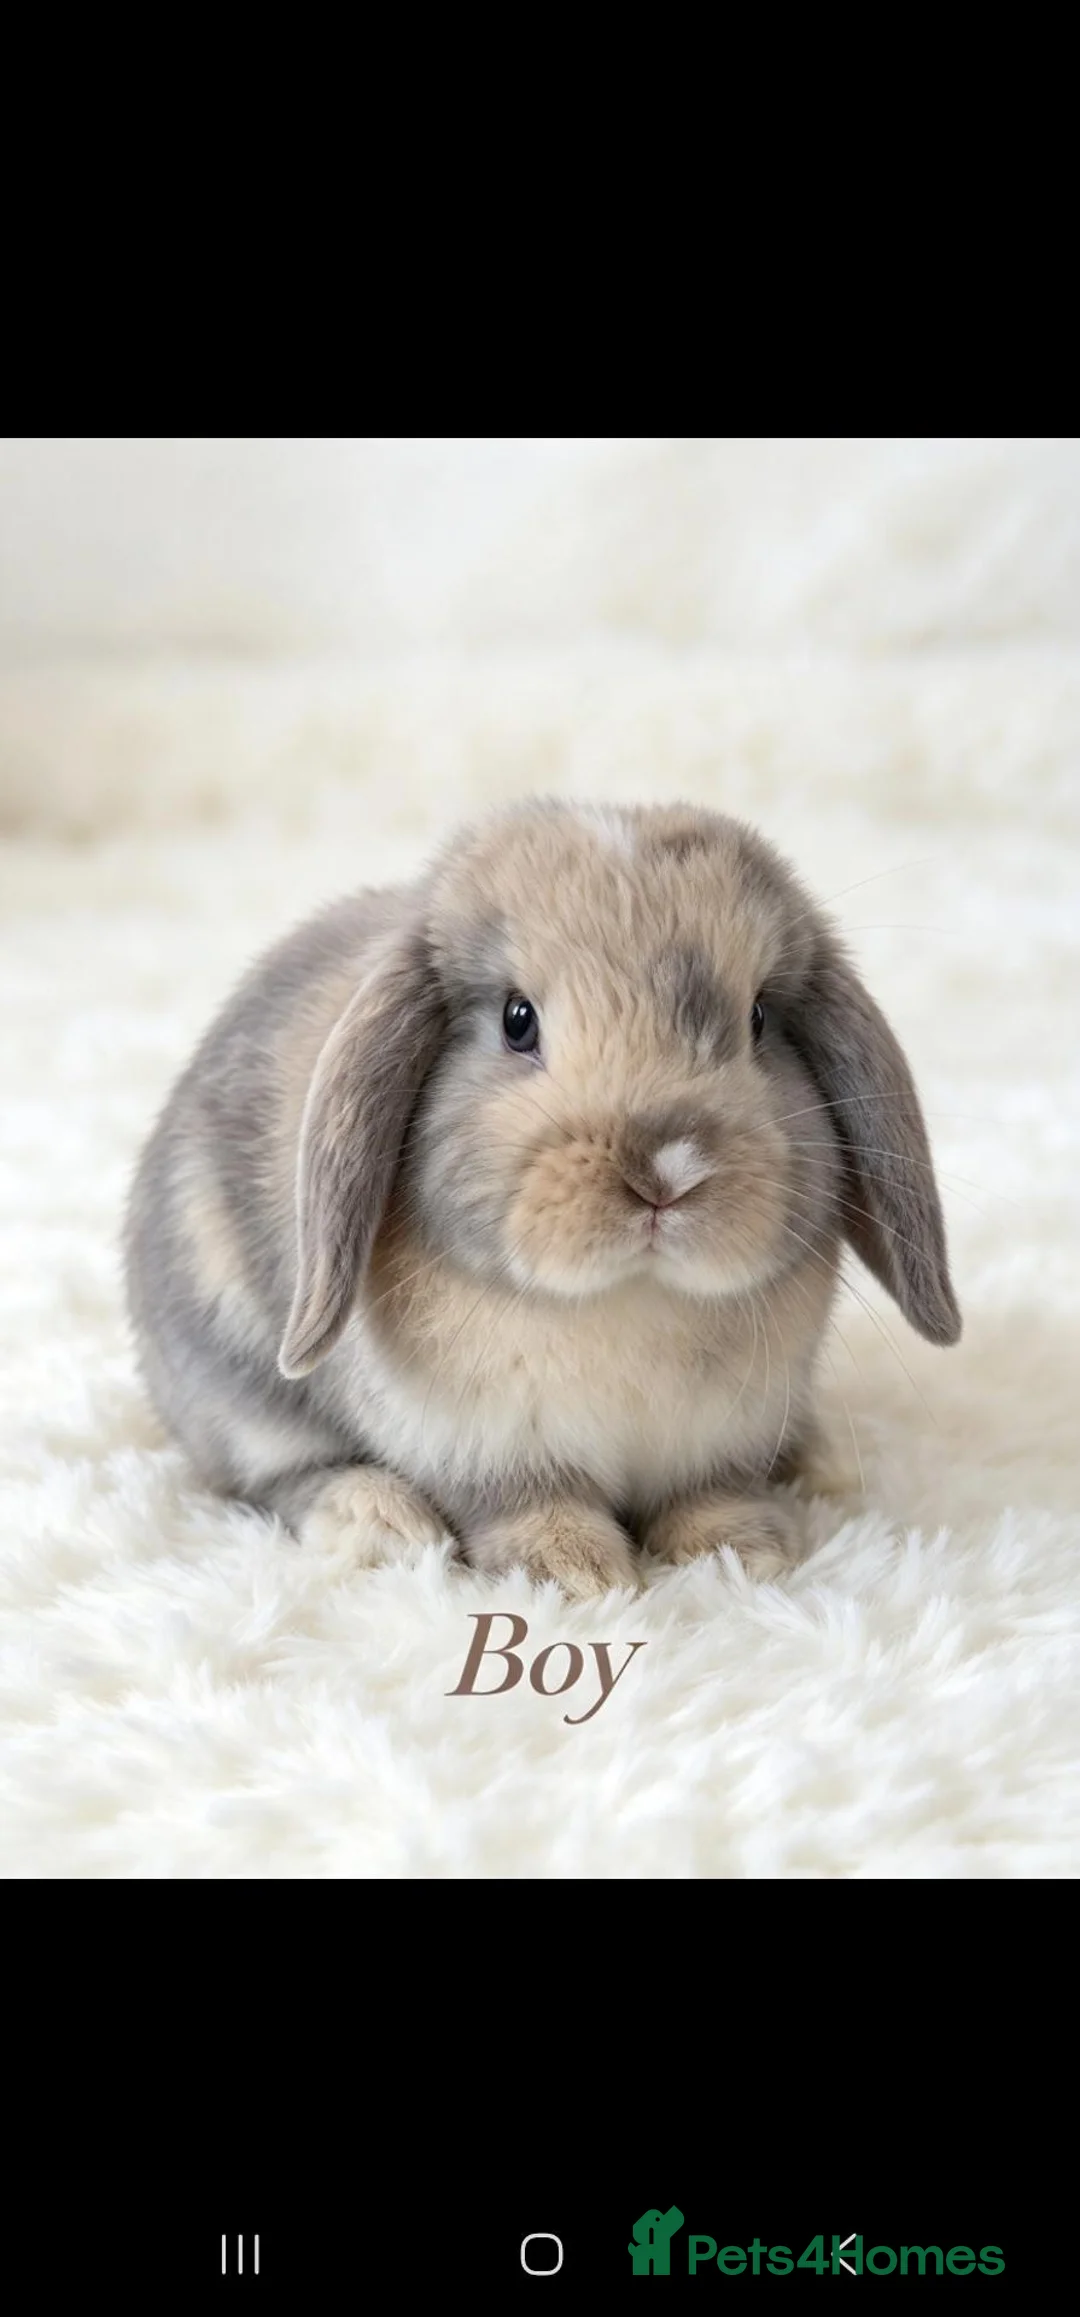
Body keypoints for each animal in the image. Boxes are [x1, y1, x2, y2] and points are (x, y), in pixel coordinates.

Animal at [124, 798, 961, 1598]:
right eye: (516, 1019)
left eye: (758, 1018)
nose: (665, 1172)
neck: (628, 1302)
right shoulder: (484, 1445)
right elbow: (525, 1504)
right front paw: (575, 1571)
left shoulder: (723, 1437)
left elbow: (711, 1494)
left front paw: (740, 1553)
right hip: (236, 1383)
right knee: (277, 1475)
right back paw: (379, 1521)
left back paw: (821, 1460)